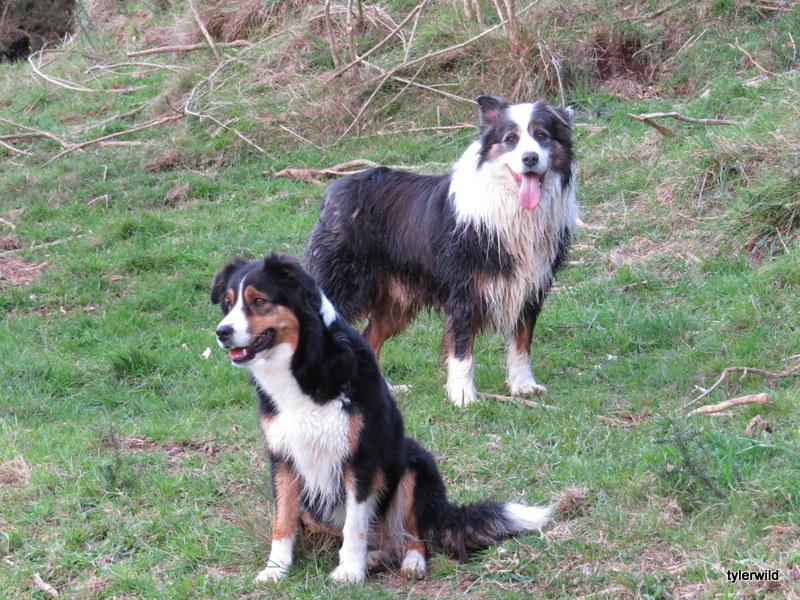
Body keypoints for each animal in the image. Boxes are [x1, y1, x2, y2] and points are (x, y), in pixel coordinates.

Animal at [212, 254, 552, 583]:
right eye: (228, 303)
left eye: (259, 301)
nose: (221, 333)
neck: (305, 368)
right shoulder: (283, 457)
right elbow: (282, 520)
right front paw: (275, 570)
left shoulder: (361, 457)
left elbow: (354, 524)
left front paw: (349, 572)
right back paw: (375, 558)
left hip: (414, 461)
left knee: (414, 537)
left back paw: (411, 563)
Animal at [306, 95, 578, 406]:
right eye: (511, 139)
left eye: (542, 135)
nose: (529, 158)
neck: (509, 207)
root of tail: (333, 190)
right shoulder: (464, 290)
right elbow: (461, 348)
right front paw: (463, 396)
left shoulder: (530, 287)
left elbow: (522, 341)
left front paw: (523, 385)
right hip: (341, 286)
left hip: (395, 302)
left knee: (370, 338)